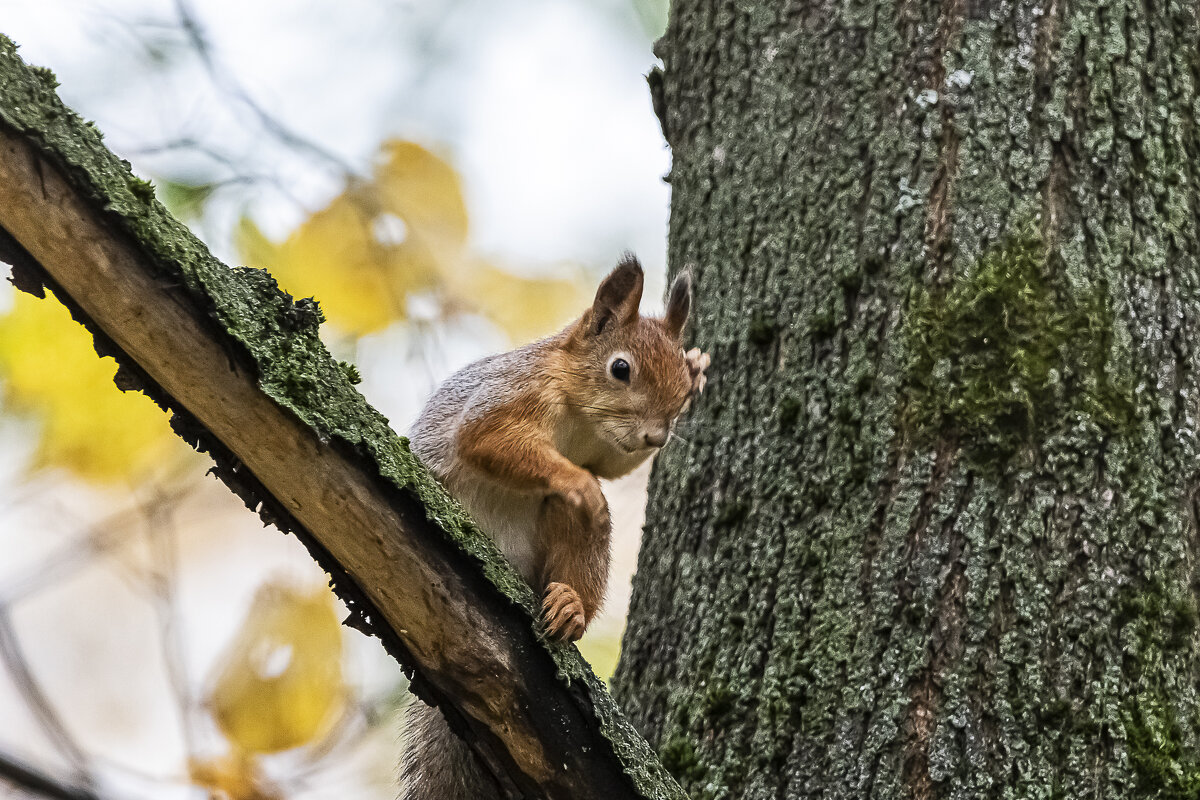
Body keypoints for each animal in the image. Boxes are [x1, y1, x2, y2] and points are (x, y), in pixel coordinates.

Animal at [398, 255, 705, 800]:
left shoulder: (607, 450)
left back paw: (570, 605)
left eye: (684, 395)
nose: (656, 436)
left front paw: (700, 365)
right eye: (621, 368)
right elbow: (486, 437)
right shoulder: (514, 392)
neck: (580, 416)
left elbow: (614, 469)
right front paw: (581, 484)